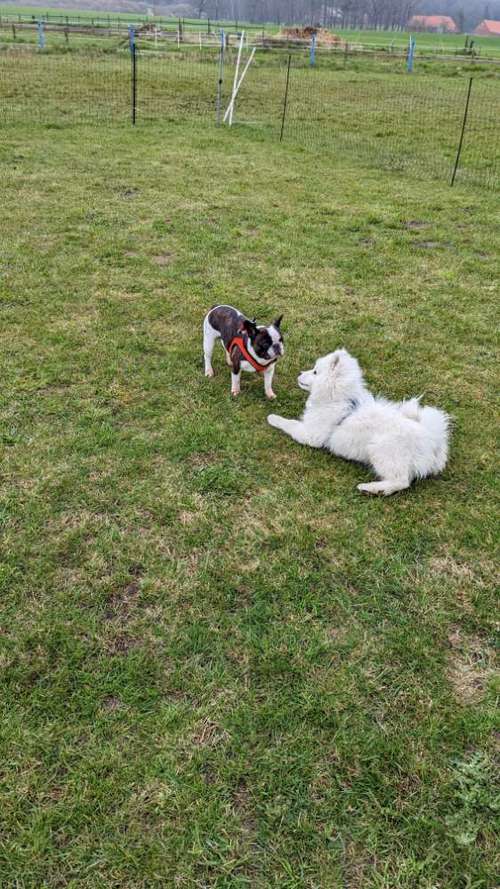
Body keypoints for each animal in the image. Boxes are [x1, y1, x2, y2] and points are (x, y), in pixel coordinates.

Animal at [268, 346, 452, 492]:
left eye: (315, 371)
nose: (299, 373)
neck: (339, 399)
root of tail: (434, 440)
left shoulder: (312, 435)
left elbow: (290, 424)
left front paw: (273, 418)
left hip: (382, 448)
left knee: (401, 481)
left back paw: (371, 488)